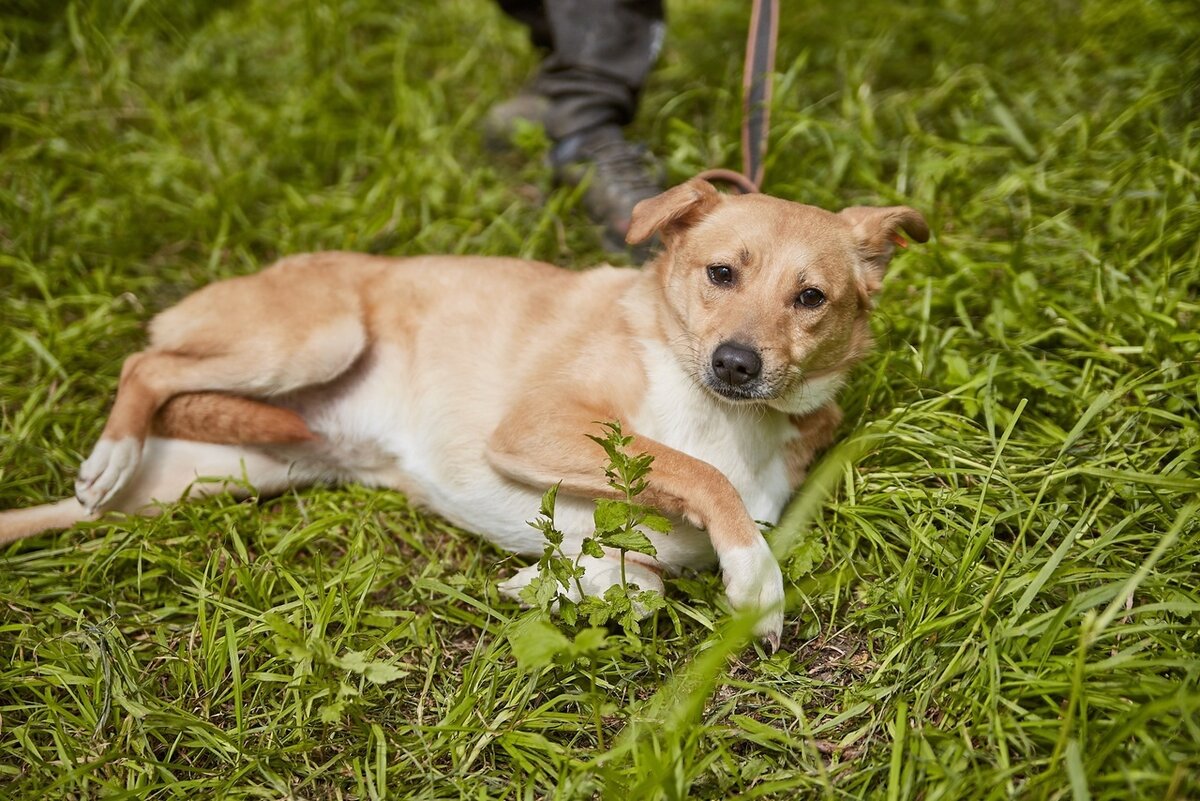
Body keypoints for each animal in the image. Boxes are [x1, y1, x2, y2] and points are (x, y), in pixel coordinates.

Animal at [0, 178, 926, 647]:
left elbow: (644, 579)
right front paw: (756, 580)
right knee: (146, 362)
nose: (737, 363)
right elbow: (696, 475)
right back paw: (112, 446)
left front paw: (565, 585)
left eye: (810, 298)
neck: (716, 410)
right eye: (720, 273)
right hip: (314, 338)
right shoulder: (535, 427)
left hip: (211, 474)